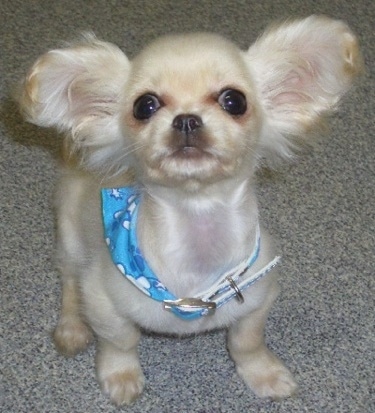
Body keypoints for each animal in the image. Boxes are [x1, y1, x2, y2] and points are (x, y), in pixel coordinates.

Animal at [19, 16, 362, 406]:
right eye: (145, 106)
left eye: (234, 100)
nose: (186, 119)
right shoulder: (103, 299)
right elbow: (120, 341)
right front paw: (120, 376)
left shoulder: (259, 296)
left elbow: (246, 342)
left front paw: (264, 374)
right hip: (71, 237)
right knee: (69, 283)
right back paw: (72, 327)